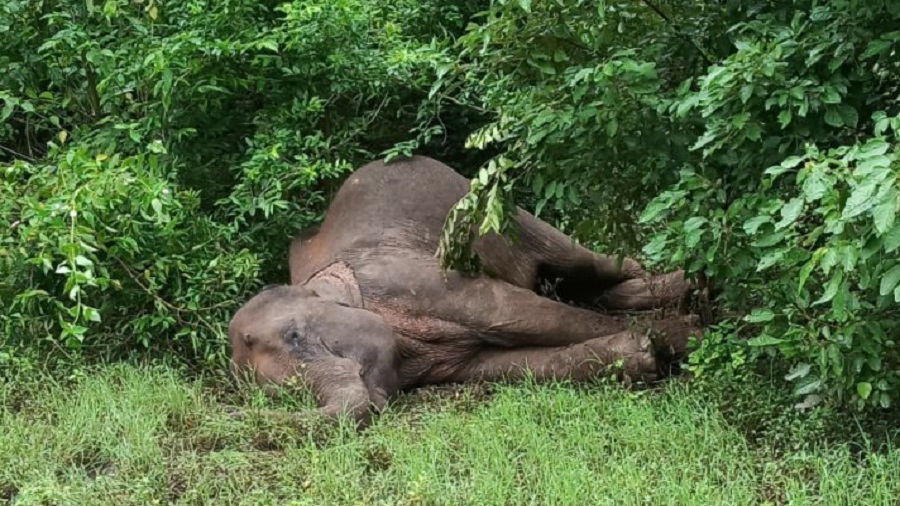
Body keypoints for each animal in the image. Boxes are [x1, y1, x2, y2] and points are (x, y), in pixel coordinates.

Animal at [229, 154, 708, 426]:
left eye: (296, 336)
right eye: (283, 395)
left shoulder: (413, 280)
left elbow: (518, 313)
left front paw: (687, 339)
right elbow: (506, 364)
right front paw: (643, 355)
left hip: (499, 209)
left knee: (584, 262)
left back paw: (698, 285)